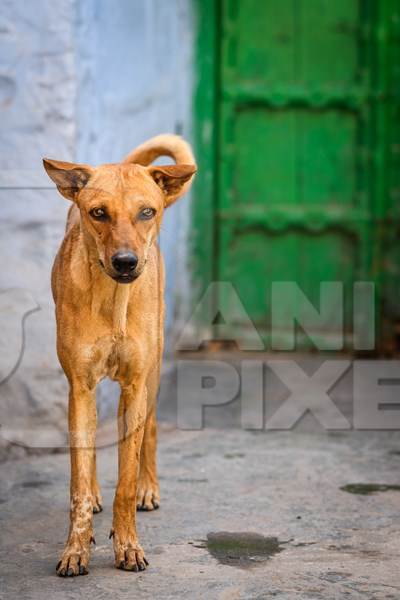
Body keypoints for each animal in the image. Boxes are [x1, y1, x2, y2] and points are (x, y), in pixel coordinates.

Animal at [41, 135, 195, 576]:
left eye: (146, 212)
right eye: (98, 213)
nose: (125, 262)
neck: (113, 302)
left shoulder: (134, 385)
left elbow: (124, 479)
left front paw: (127, 545)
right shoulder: (80, 384)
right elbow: (78, 476)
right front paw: (76, 548)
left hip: (154, 374)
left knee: (152, 431)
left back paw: (149, 488)